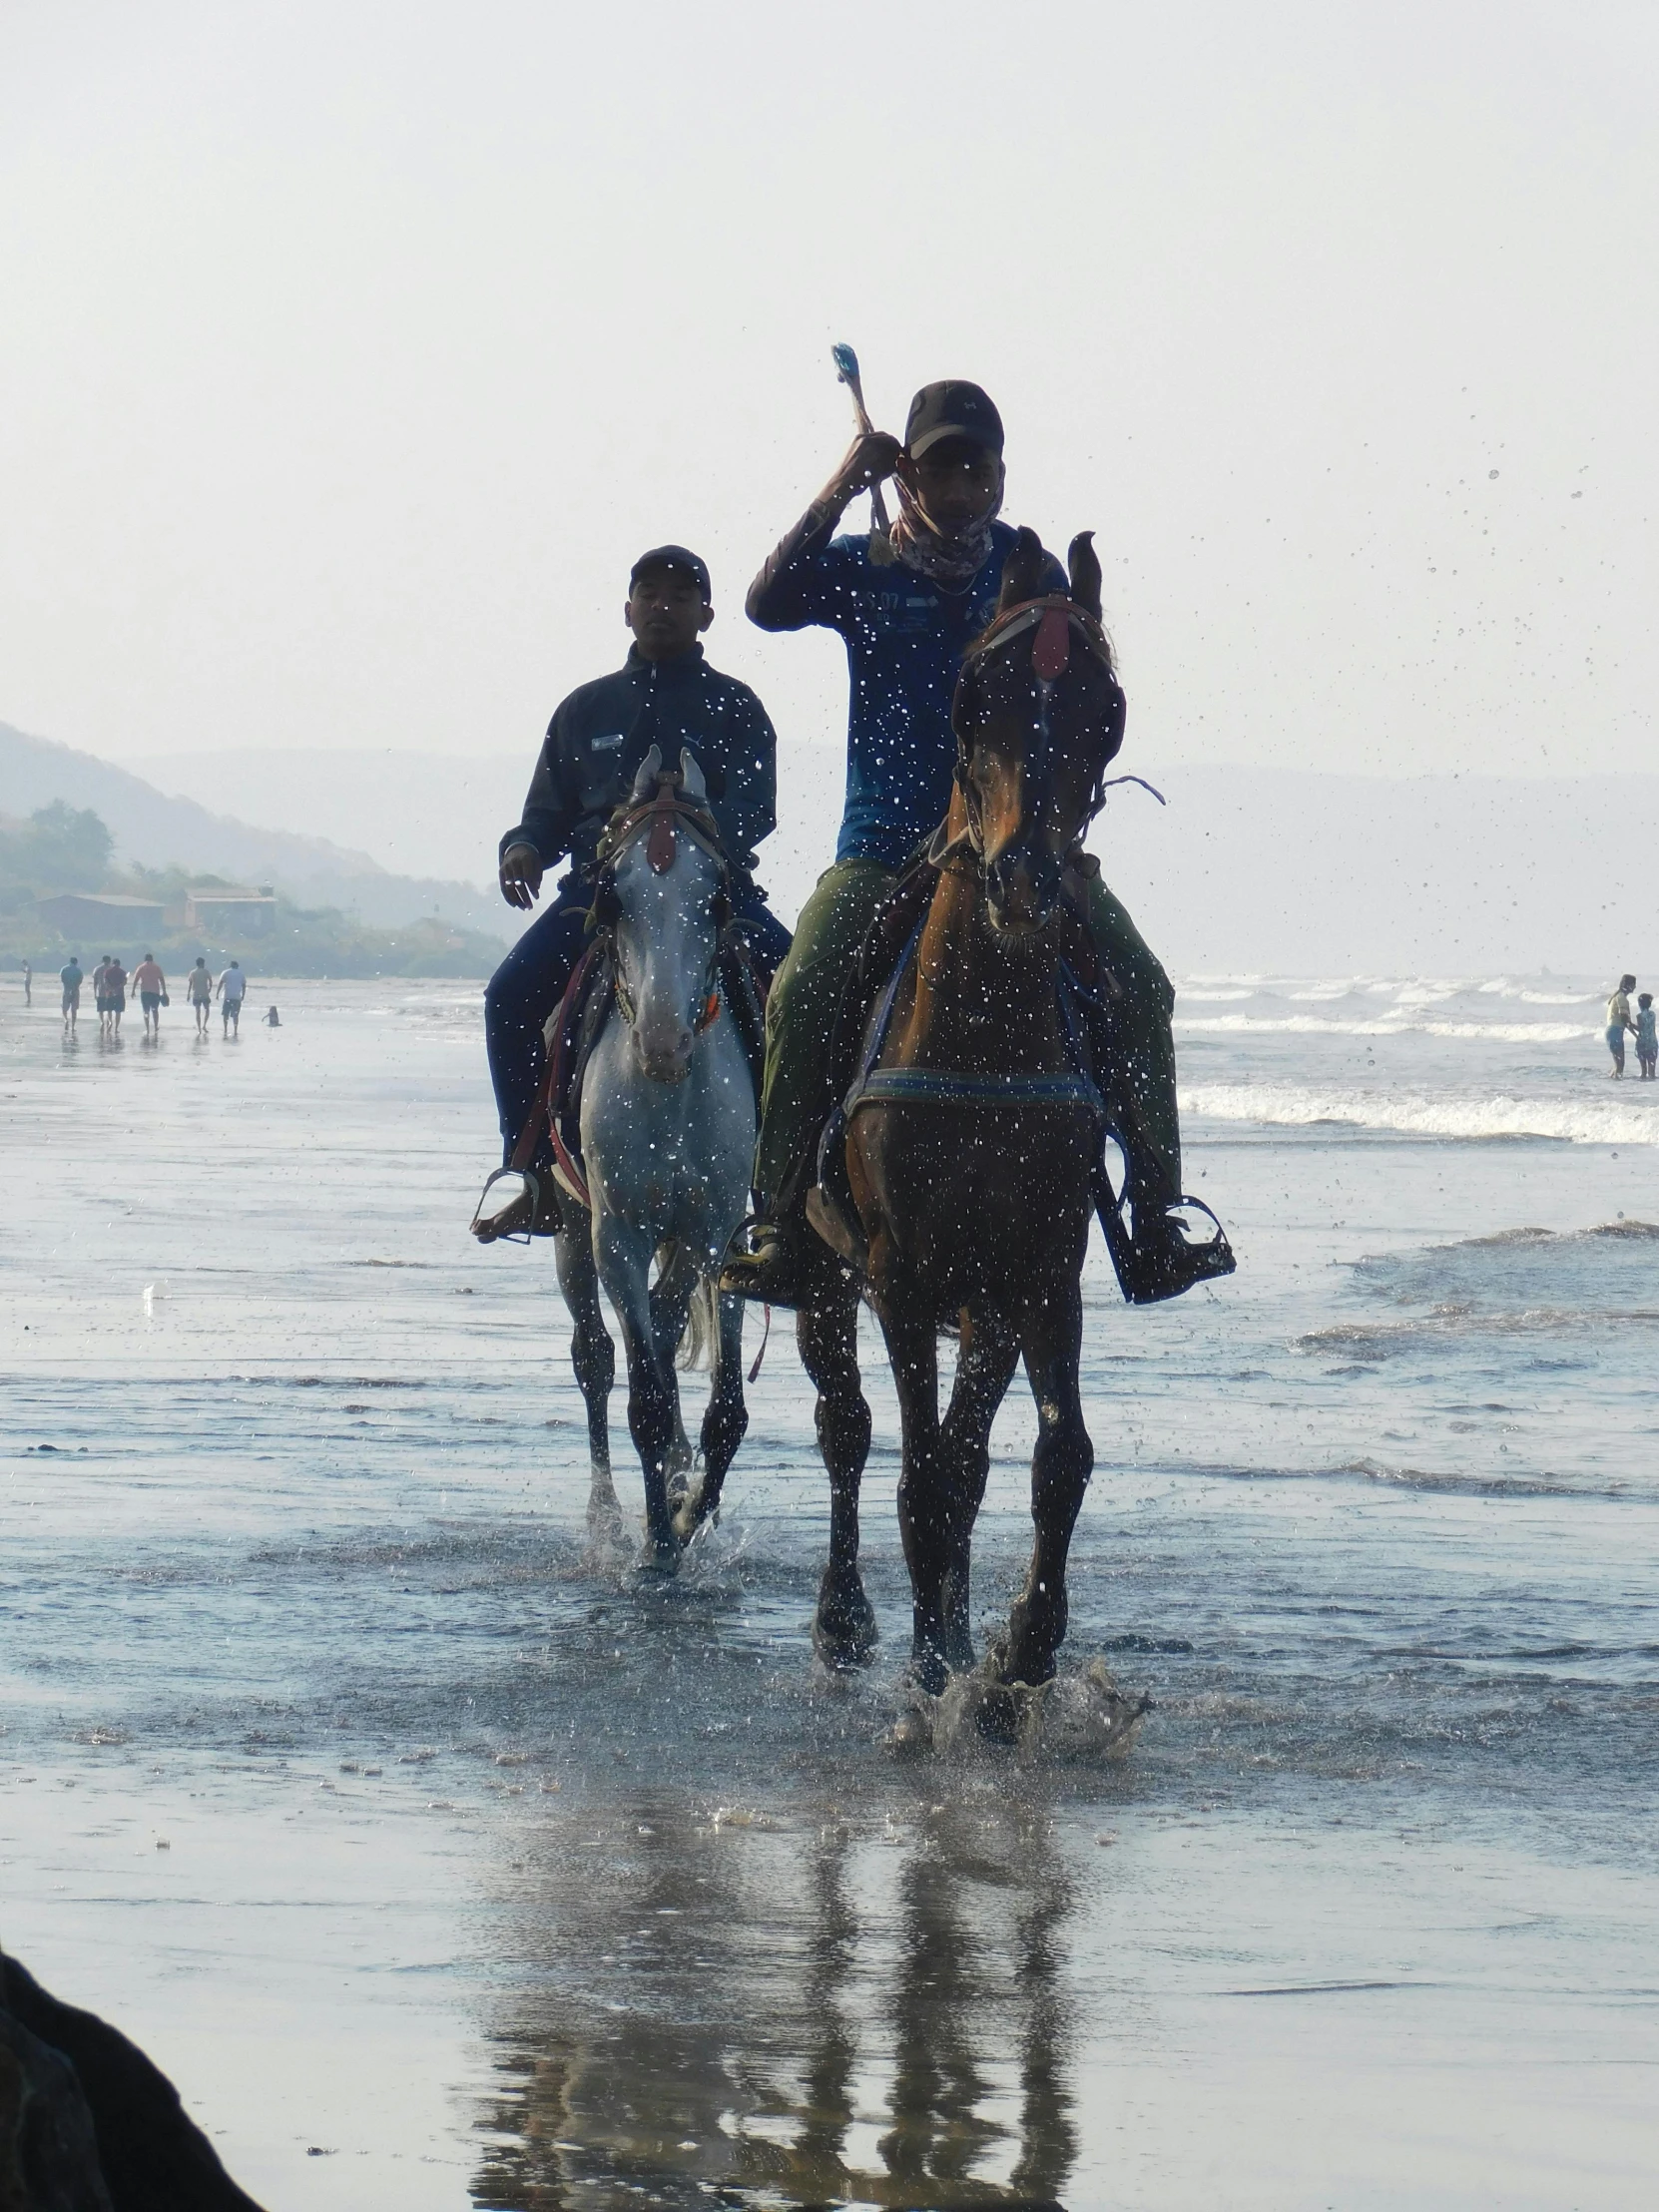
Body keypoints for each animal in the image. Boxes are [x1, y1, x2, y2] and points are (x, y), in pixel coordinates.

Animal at [555, 748, 765, 1574]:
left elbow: (720, 1407)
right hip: (572, 1228)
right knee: (594, 1357)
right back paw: (610, 1519)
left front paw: (684, 1509)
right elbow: (642, 1392)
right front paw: (658, 1544)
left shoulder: (714, 1232)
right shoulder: (618, 1234)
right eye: (612, 899)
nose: (663, 1040)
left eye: (718, 898)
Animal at [805, 530, 1141, 1690]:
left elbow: (1054, 1456)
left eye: (1105, 708)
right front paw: (931, 1676)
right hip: (820, 1276)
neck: (979, 1032)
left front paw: (1019, 1652)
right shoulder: (901, 1276)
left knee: (968, 1449)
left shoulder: (1040, 1269)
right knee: (848, 1428)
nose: (1024, 882)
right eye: (969, 700)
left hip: (985, 1304)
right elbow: (917, 1473)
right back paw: (849, 1618)